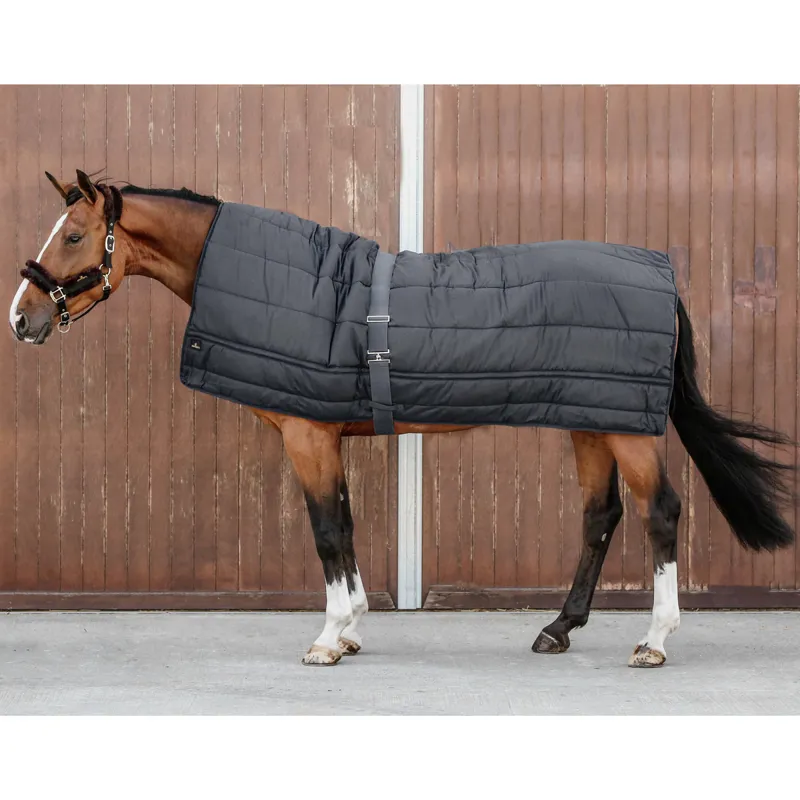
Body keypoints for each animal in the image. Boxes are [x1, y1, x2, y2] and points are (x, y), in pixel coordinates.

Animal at [9, 169, 797, 668]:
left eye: (73, 236)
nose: (22, 318)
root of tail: (659, 275)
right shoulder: (327, 434)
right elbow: (348, 526)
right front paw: (353, 628)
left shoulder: (308, 436)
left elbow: (328, 531)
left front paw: (328, 638)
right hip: (591, 419)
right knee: (600, 516)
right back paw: (558, 629)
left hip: (627, 429)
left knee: (660, 513)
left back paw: (655, 641)